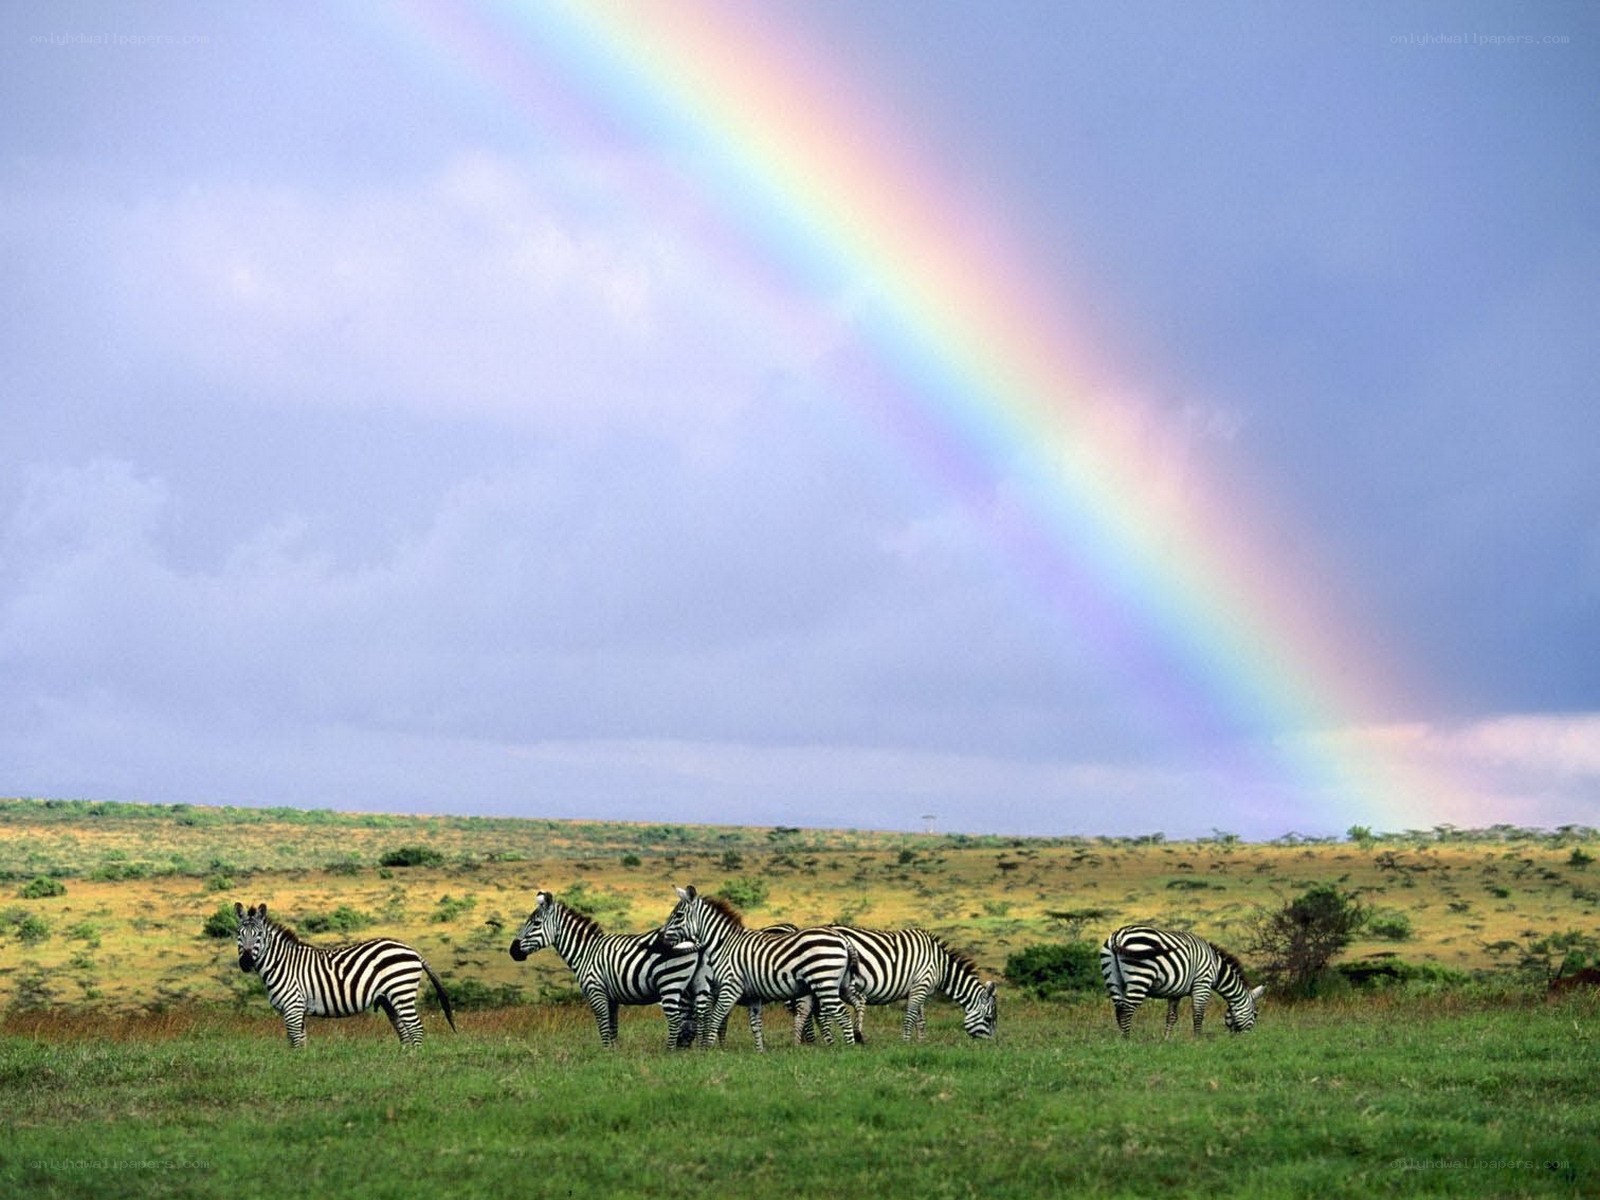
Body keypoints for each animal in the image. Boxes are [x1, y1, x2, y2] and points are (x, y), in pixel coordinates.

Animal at [233, 902, 456, 1048]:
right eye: (239, 934)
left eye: (259, 935)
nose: (245, 963)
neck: (282, 964)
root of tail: (413, 951)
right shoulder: (298, 1009)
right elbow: (301, 1041)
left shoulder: (293, 1007)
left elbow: (295, 1042)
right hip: (389, 999)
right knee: (404, 1030)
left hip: (401, 992)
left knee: (416, 1028)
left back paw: (414, 1062)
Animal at [508, 890, 701, 1048]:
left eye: (535, 923)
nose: (513, 951)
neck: (586, 952)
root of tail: (691, 938)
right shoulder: (612, 997)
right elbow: (613, 1026)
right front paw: (614, 1053)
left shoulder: (596, 991)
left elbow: (603, 1024)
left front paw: (606, 1052)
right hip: (687, 988)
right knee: (689, 1019)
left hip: (670, 983)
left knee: (676, 1020)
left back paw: (670, 1051)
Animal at [658, 886, 859, 1050]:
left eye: (678, 915)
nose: (661, 941)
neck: (724, 944)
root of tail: (842, 938)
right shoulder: (753, 995)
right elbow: (755, 1025)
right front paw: (760, 1052)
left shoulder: (730, 986)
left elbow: (716, 1018)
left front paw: (707, 1050)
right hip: (839, 984)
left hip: (824, 982)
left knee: (842, 1014)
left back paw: (849, 1050)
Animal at [794, 926, 998, 1041]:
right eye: (989, 1019)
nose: (992, 1048)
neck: (940, 965)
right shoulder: (921, 984)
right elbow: (910, 1017)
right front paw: (906, 1042)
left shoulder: (918, 987)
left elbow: (921, 1019)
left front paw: (921, 1043)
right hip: (826, 978)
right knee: (821, 1013)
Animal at [1099, 924, 1263, 1037]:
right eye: (1255, 1014)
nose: (1245, 1039)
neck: (1216, 969)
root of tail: (1120, 934)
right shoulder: (1202, 984)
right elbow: (1198, 1014)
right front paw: (1198, 1040)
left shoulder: (1175, 992)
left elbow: (1171, 1017)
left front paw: (1166, 1039)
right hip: (1140, 976)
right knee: (1127, 1009)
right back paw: (1127, 1040)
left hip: (1113, 979)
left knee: (1119, 1009)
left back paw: (1122, 1040)